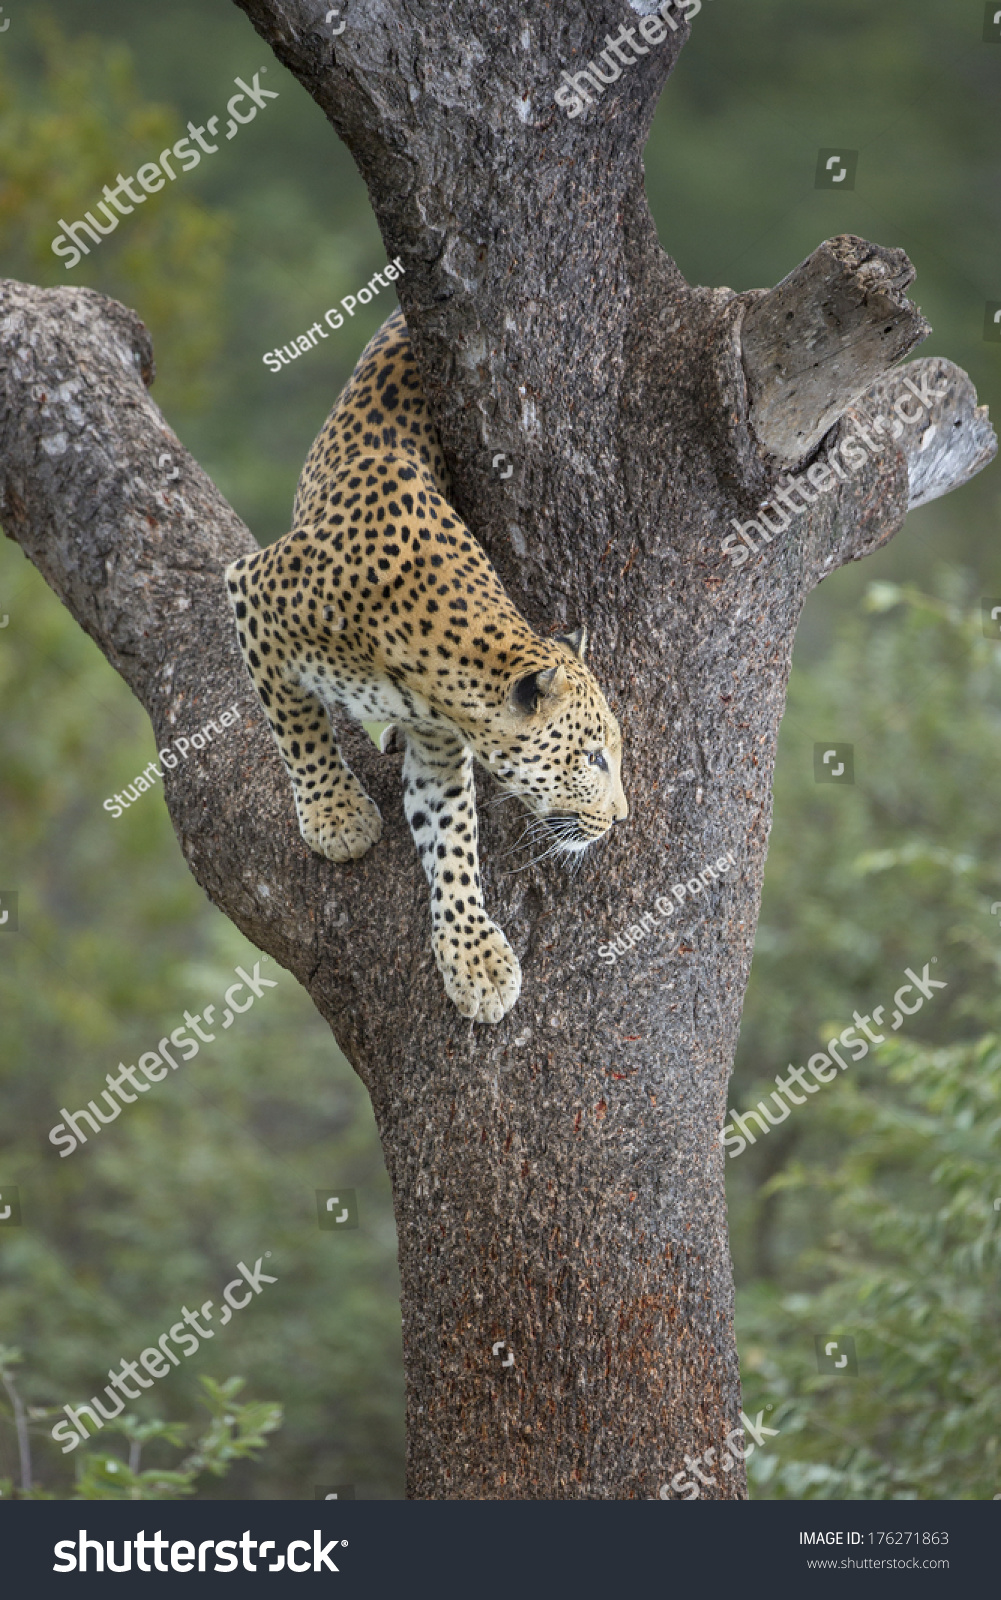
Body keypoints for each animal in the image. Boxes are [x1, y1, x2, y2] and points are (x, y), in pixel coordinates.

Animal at [225, 305, 623, 1017]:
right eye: (592, 757)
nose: (621, 820)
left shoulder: (439, 747)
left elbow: (455, 842)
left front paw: (476, 958)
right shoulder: (254, 594)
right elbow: (297, 724)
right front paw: (336, 815)